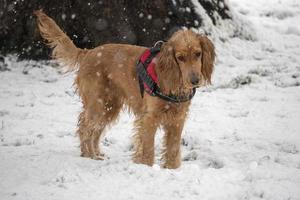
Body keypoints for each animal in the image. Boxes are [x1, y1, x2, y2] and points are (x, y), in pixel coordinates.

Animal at [34, 10, 214, 168]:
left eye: (198, 54)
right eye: (180, 58)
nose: (195, 80)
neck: (173, 80)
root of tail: (88, 53)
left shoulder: (177, 119)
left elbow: (173, 149)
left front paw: (171, 169)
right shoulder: (149, 117)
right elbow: (148, 148)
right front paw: (146, 167)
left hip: (109, 107)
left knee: (95, 131)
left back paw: (97, 154)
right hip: (98, 105)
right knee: (84, 127)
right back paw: (89, 156)